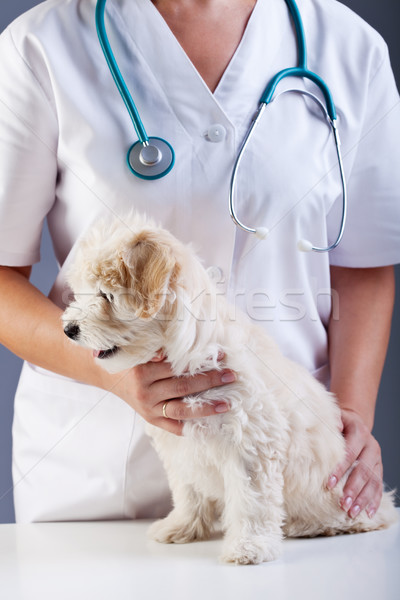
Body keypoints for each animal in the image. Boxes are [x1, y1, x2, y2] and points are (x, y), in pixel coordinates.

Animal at [62, 213, 396, 564]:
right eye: (82, 292)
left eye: (106, 295)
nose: (69, 329)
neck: (189, 349)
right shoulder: (179, 445)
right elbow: (188, 491)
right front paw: (183, 526)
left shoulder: (249, 442)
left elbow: (251, 500)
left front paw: (249, 546)